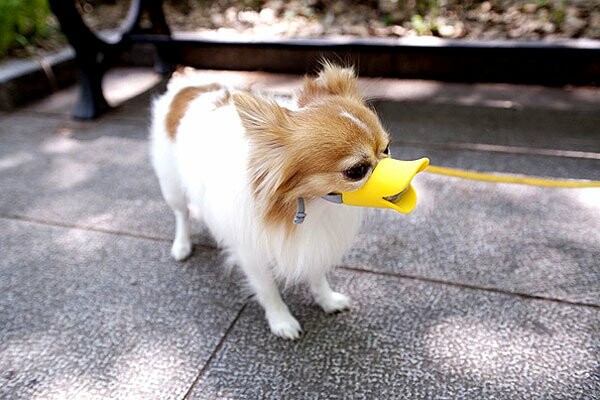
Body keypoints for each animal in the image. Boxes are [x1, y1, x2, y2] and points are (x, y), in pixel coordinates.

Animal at [151, 64, 394, 340]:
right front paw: (281, 321)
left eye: (387, 148)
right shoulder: (252, 254)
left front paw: (327, 300)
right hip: (171, 185)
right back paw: (182, 245)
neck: (309, 204)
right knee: (181, 214)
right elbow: (268, 290)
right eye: (356, 171)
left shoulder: (314, 243)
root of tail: (187, 85)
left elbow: (317, 276)